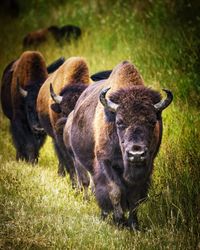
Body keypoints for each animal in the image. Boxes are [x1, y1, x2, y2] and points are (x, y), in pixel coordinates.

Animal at [64, 61, 173, 230]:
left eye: (152, 121)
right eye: (119, 122)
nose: (136, 154)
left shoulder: (147, 166)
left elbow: (135, 197)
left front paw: (134, 225)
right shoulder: (106, 163)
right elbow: (114, 191)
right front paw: (119, 221)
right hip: (80, 161)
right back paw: (105, 215)